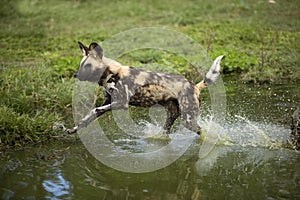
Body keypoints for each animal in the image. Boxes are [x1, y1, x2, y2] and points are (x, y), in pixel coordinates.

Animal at [67, 41, 223, 135]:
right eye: (81, 65)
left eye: (88, 66)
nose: (75, 75)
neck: (111, 73)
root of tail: (194, 85)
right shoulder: (109, 101)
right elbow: (89, 115)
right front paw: (74, 129)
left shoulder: (120, 103)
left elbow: (95, 109)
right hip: (171, 118)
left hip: (188, 120)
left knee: (202, 132)